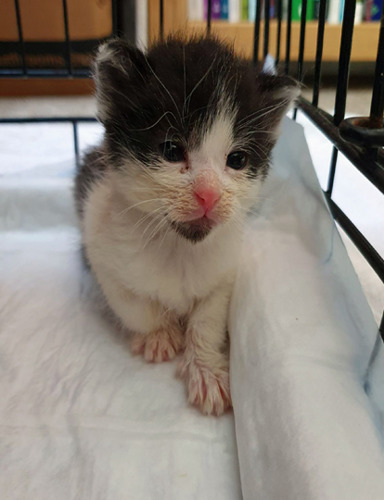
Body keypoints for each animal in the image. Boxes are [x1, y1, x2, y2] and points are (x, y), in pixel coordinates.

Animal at [74, 35, 296, 416]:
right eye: (171, 150)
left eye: (237, 159)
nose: (208, 195)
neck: (178, 249)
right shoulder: (100, 242)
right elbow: (133, 305)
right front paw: (160, 335)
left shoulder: (224, 270)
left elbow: (207, 318)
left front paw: (205, 369)